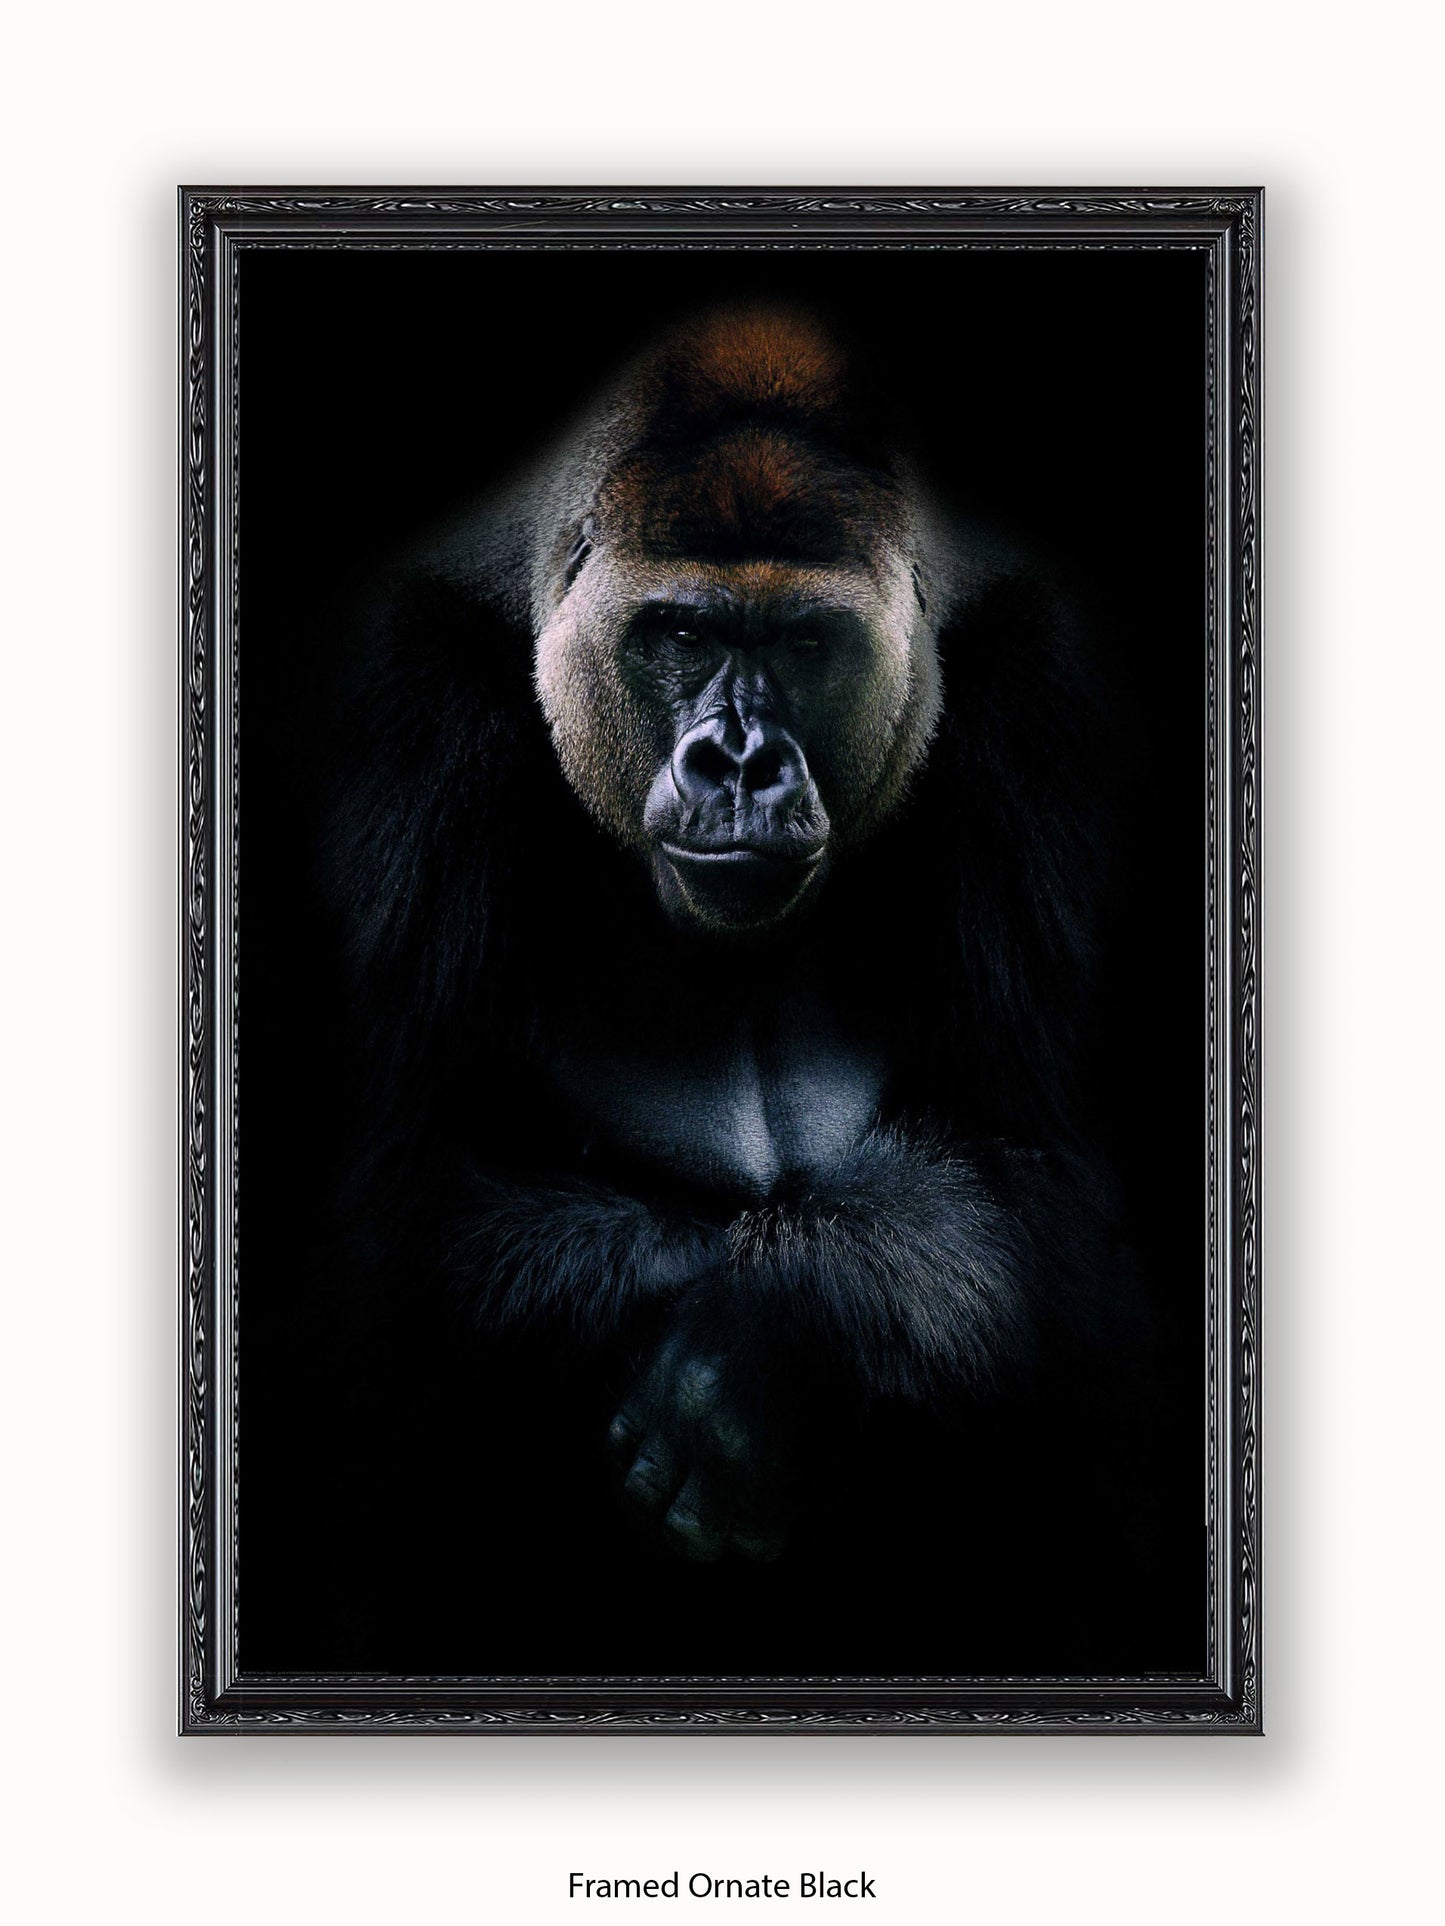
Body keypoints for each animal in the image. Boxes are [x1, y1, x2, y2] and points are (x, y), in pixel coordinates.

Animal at [314, 305, 1162, 1667]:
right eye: (682, 634)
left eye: (804, 643)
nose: (742, 762)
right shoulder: (394, 696)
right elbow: (400, 1212)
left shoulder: (1047, 682)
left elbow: (1039, 1179)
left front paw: (767, 1342)